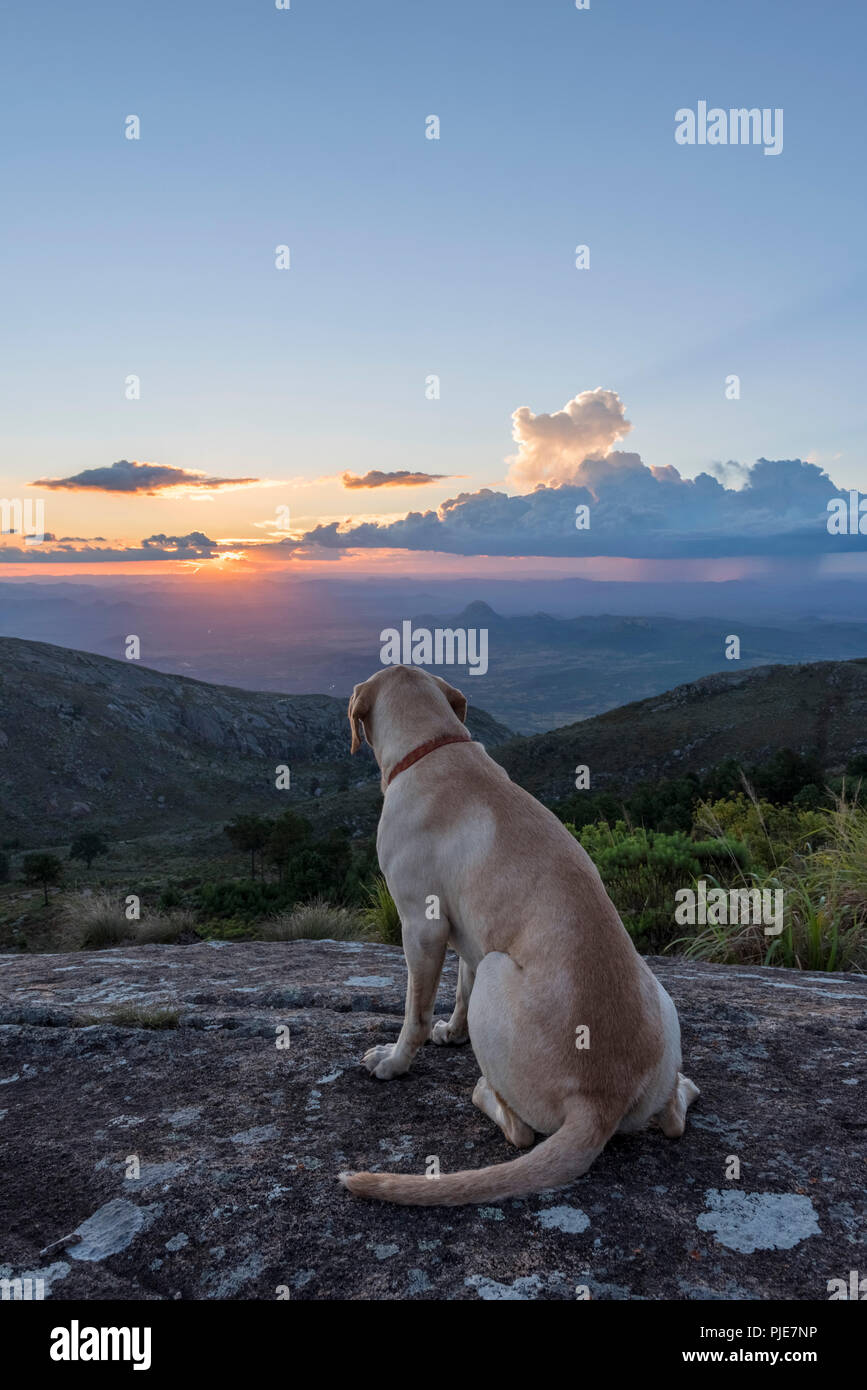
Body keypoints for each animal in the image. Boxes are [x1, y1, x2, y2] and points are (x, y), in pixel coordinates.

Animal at [339, 664, 697, 1206]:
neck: (436, 746)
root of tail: (600, 1102)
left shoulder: (421, 926)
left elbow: (414, 1014)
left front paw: (395, 1061)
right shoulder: (467, 932)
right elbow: (459, 994)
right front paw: (454, 1033)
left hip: (497, 967)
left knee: (522, 1132)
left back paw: (484, 1090)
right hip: (657, 999)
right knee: (673, 1118)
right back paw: (686, 1088)